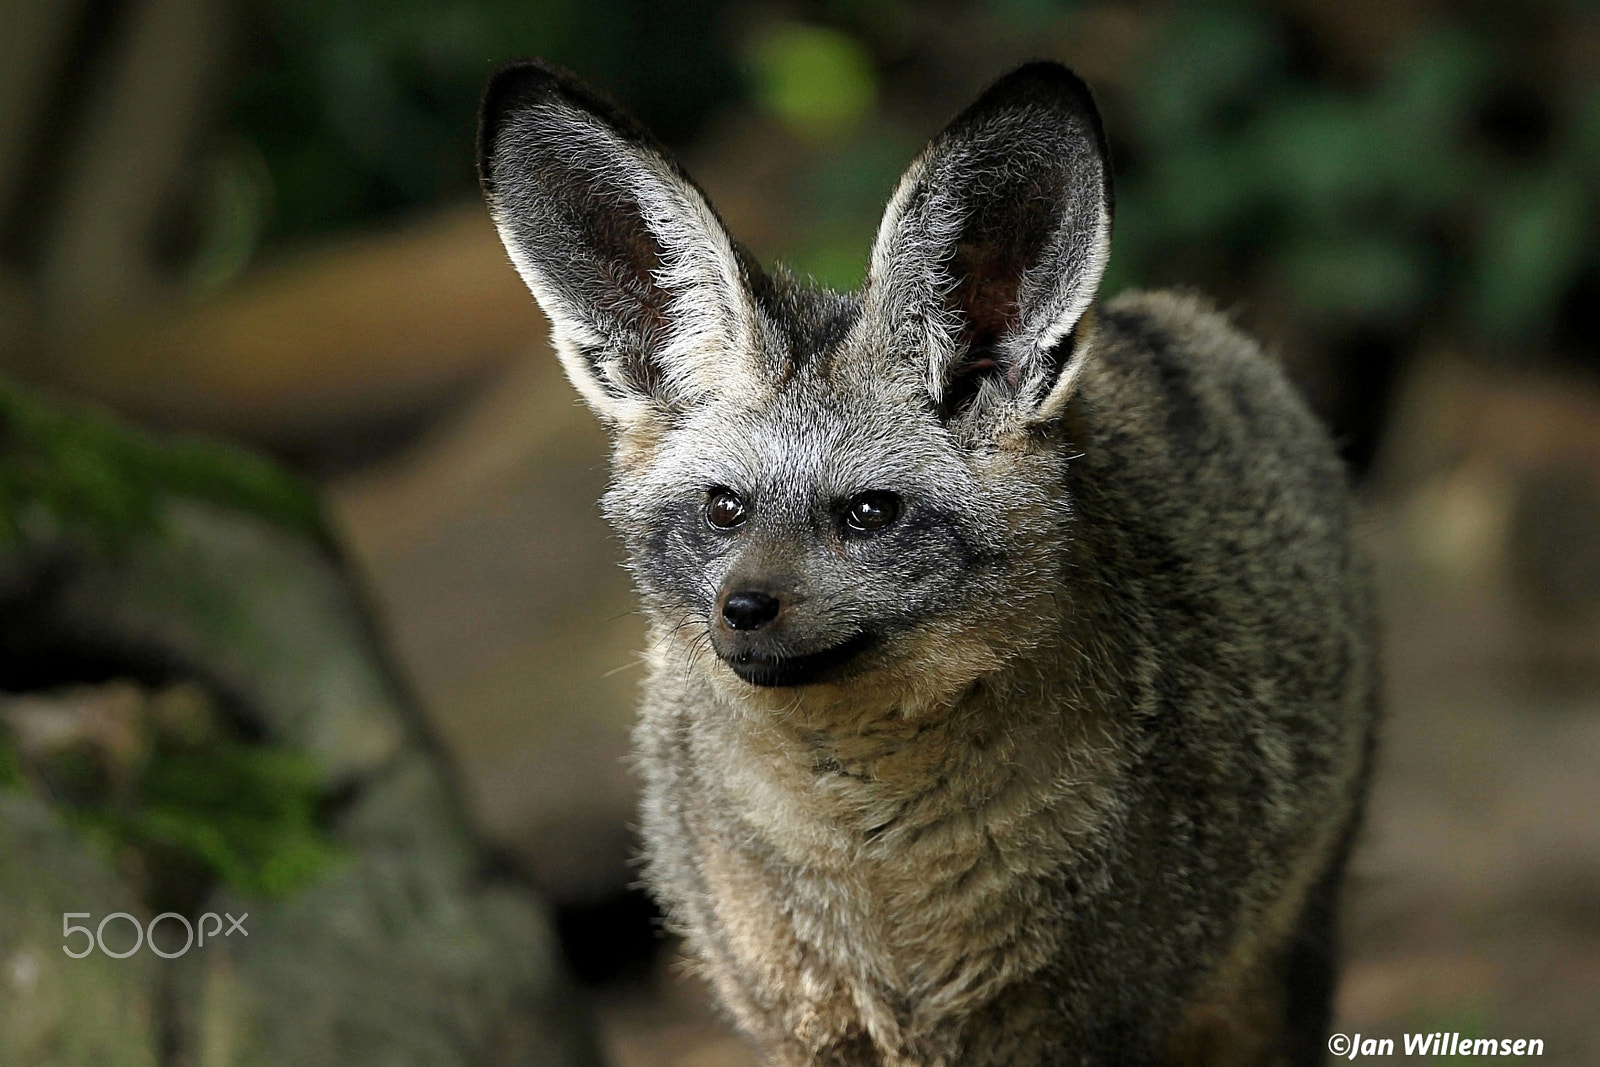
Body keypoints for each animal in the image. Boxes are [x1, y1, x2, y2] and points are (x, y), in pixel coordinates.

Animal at [470, 60, 1376, 1067]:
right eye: (723, 508)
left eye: (870, 512)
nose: (741, 610)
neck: (877, 869)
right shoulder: (804, 1025)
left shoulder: (1075, 1027)